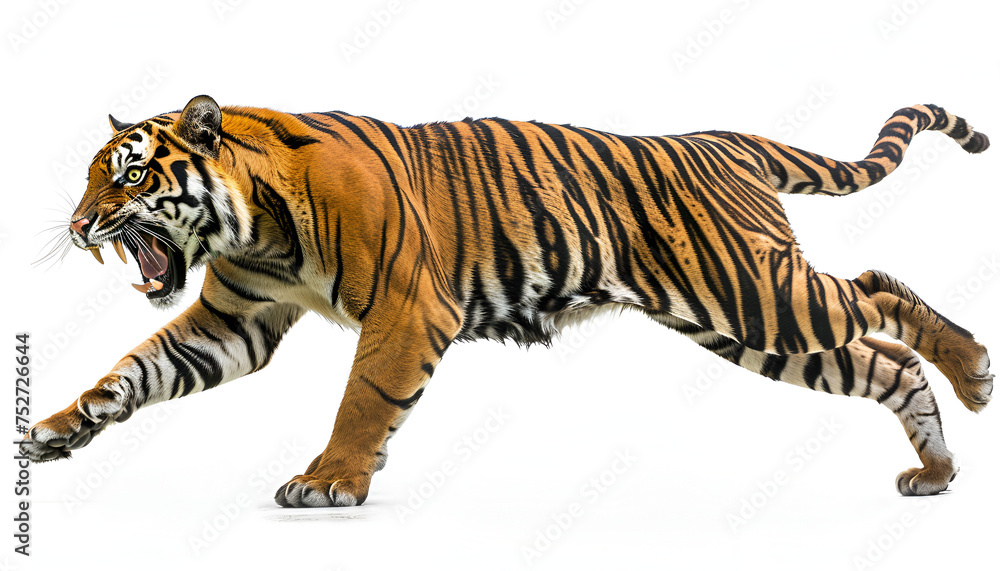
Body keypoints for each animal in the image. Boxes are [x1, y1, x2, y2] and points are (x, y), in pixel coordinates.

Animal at [22, 95, 992, 508]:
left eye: (128, 174)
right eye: (90, 176)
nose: (77, 224)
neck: (254, 224)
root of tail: (727, 138)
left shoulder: (408, 309)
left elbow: (363, 398)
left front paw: (330, 480)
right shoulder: (236, 320)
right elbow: (134, 369)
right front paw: (57, 430)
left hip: (758, 295)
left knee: (875, 292)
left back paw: (977, 369)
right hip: (748, 324)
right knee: (881, 359)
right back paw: (937, 470)